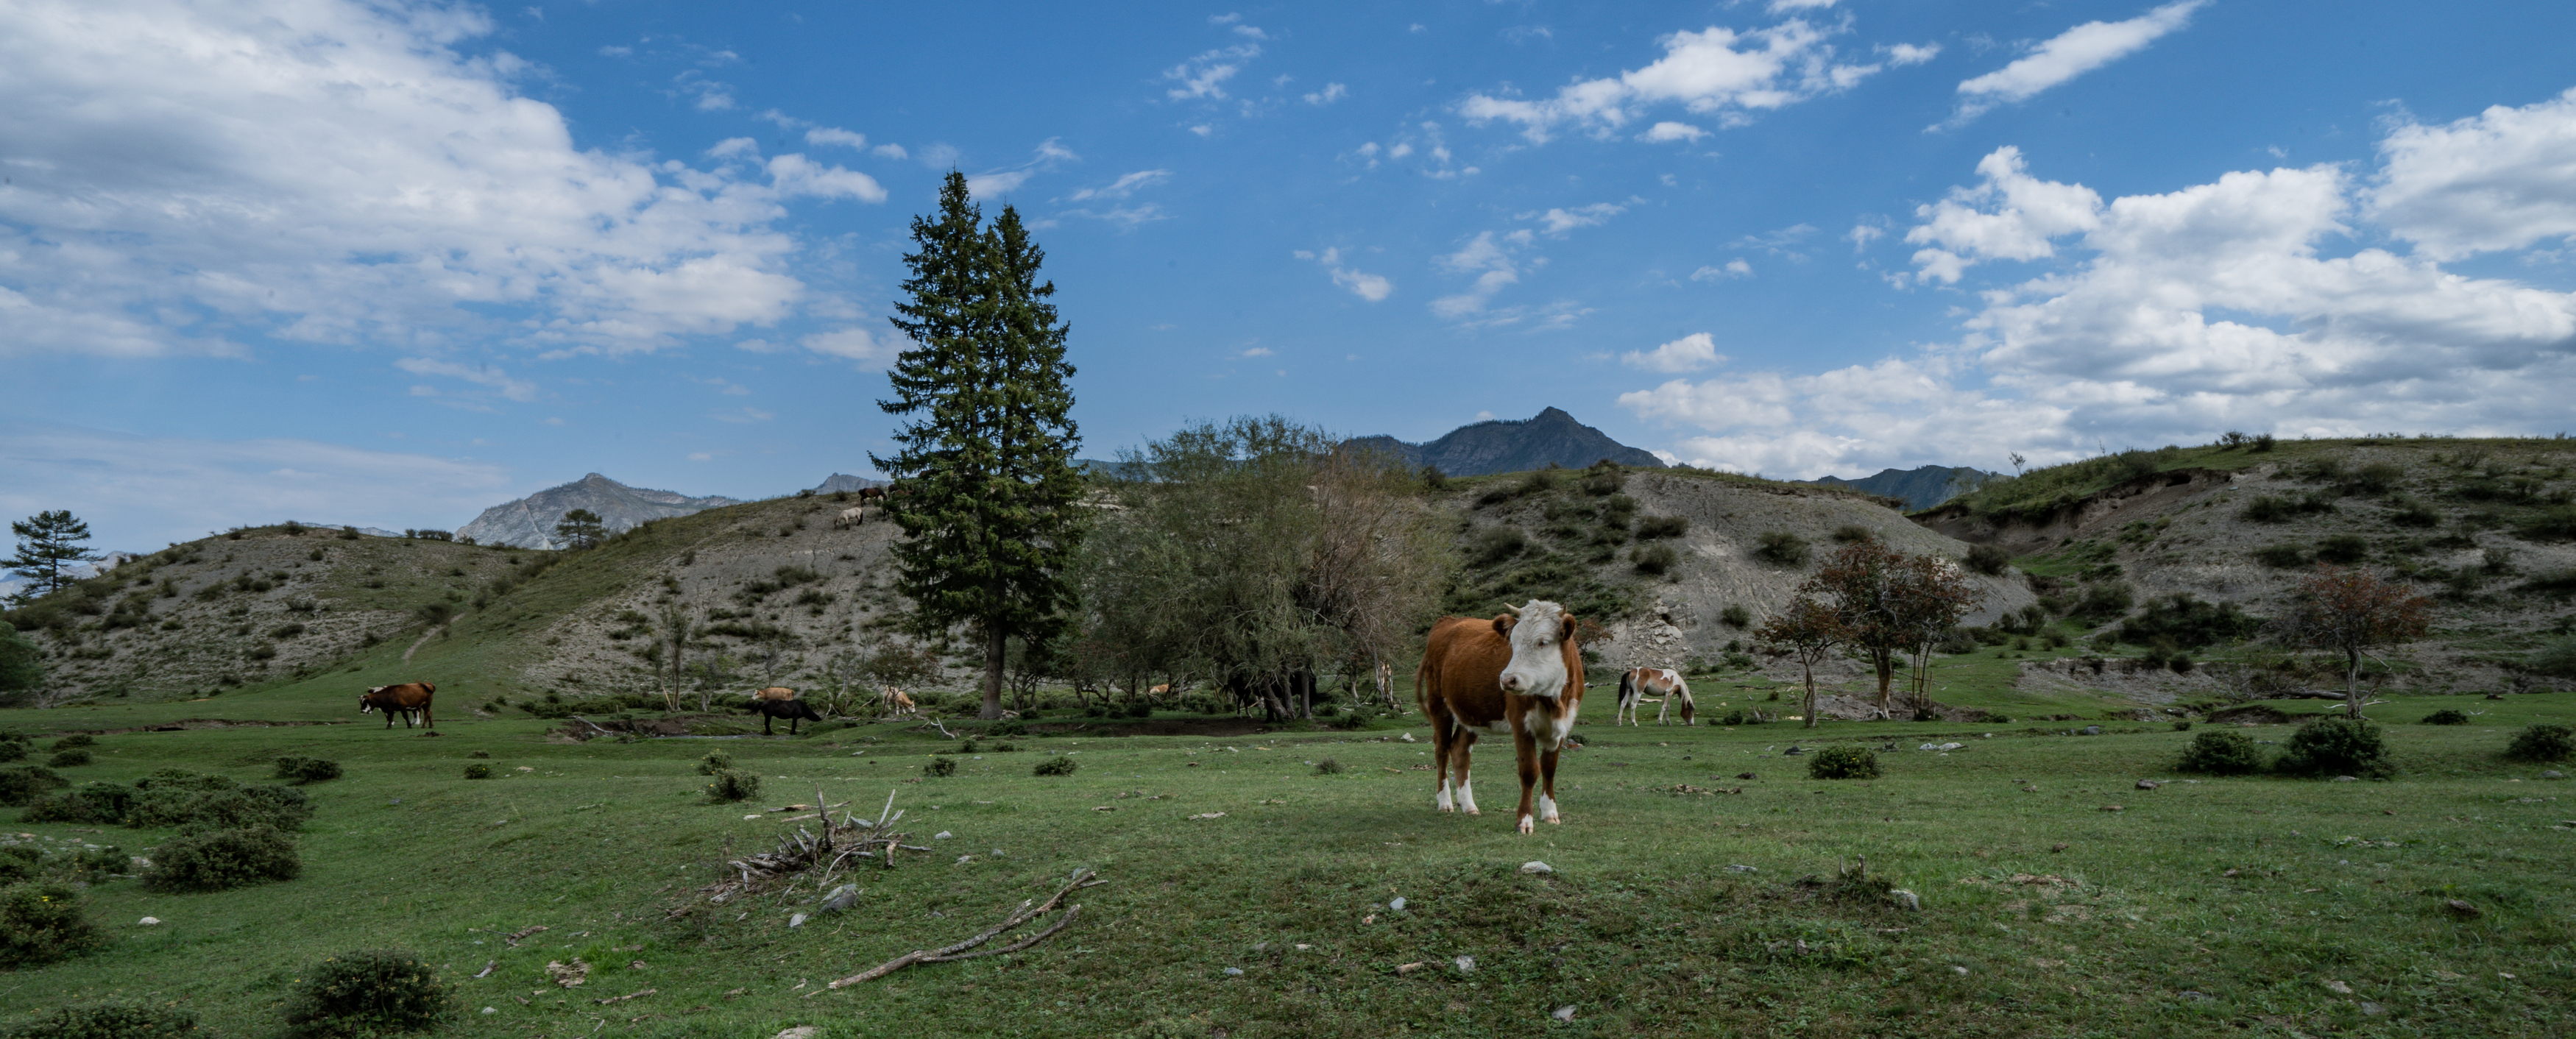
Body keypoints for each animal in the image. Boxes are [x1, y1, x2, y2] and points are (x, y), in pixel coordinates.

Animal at [1412, 603, 1587, 840]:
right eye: (1512, 642)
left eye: (1543, 642)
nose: (1507, 679)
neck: (1554, 702)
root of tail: (1447, 621)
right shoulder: (1521, 724)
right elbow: (1530, 771)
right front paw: (1524, 821)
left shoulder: (1562, 727)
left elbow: (1549, 769)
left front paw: (1550, 813)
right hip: (1439, 705)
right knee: (1441, 750)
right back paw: (1445, 803)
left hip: (1470, 714)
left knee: (1460, 750)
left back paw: (1468, 806)